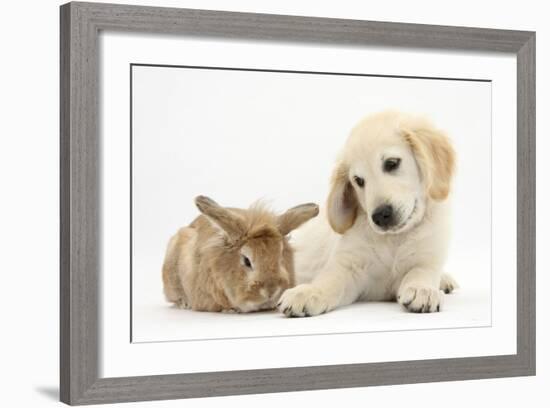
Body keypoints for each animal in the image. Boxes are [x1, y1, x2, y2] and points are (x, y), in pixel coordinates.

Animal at [278, 111, 460, 316]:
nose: (380, 216)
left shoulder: (427, 259)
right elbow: (329, 280)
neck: (394, 240)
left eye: (391, 163)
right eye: (358, 180)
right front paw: (308, 292)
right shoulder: (348, 266)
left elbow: (421, 273)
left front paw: (423, 289)